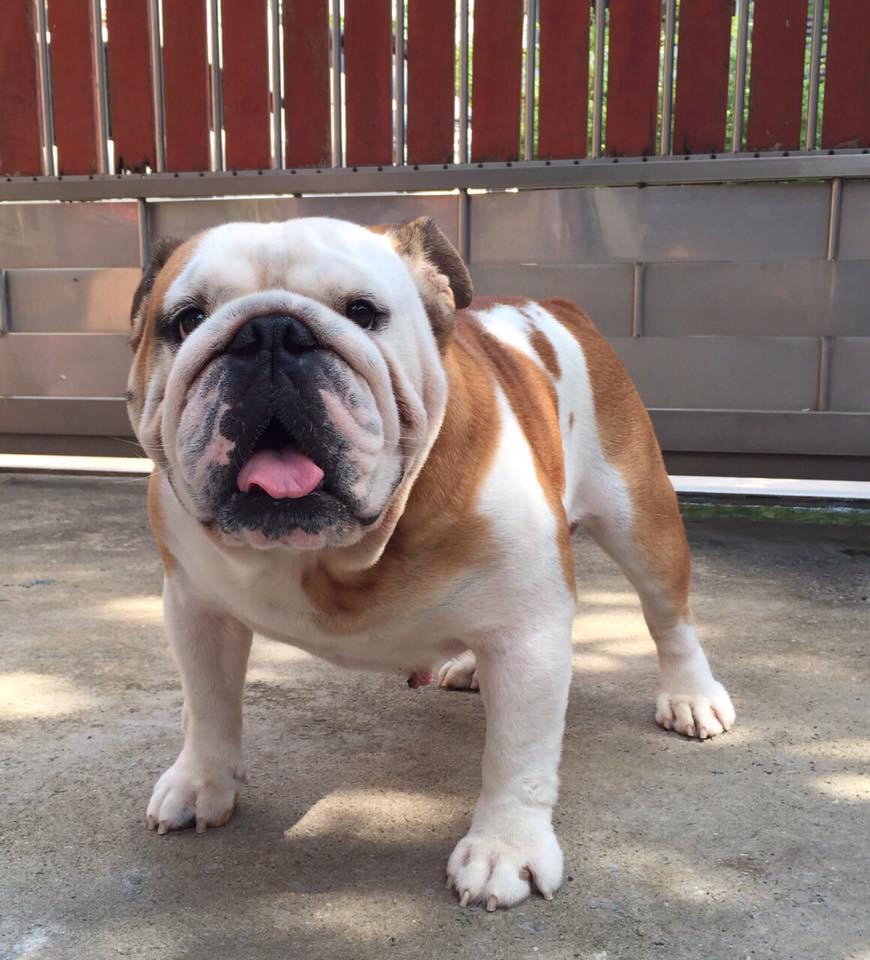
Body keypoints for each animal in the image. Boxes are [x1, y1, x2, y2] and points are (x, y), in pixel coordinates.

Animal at [126, 215, 735, 910]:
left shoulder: (531, 634)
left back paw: (692, 697)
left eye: (363, 312)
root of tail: (555, 306)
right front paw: (202, 783)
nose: (269, 333)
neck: (333, 552)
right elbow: (209, 704)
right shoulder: (195, 607)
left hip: (640, 516)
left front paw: (506, 851)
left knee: (670, 617)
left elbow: (518, 755)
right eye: (186, 320)